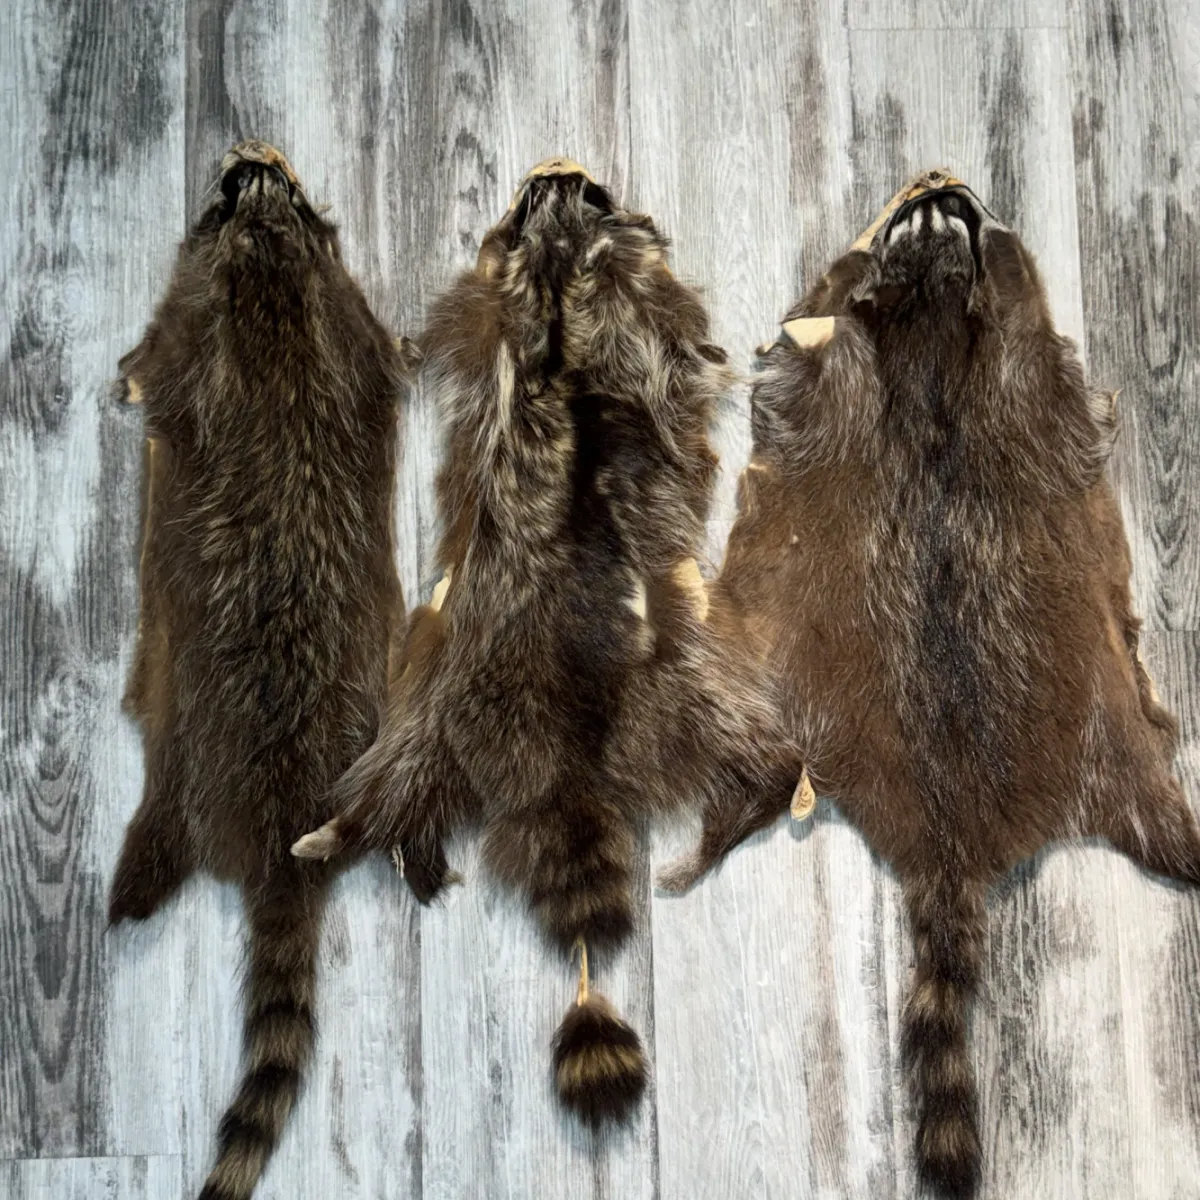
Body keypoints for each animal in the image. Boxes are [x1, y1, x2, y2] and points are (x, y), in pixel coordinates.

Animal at [109, 140, 412, 1200]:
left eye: (235, 181)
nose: (252, 148)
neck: (273, 252)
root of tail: (284, 814)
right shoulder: (351, 322)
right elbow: (391, 358)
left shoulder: (195, 314)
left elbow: (154, 360)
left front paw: (124, 377)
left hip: (176, 744)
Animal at [293, 159, 800, 1124]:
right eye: (551, 192)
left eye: (578, 190)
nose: (557, 168)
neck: (564, 270)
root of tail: (563, 757)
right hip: (479, 696)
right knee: (403, 783)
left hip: (586, 684)